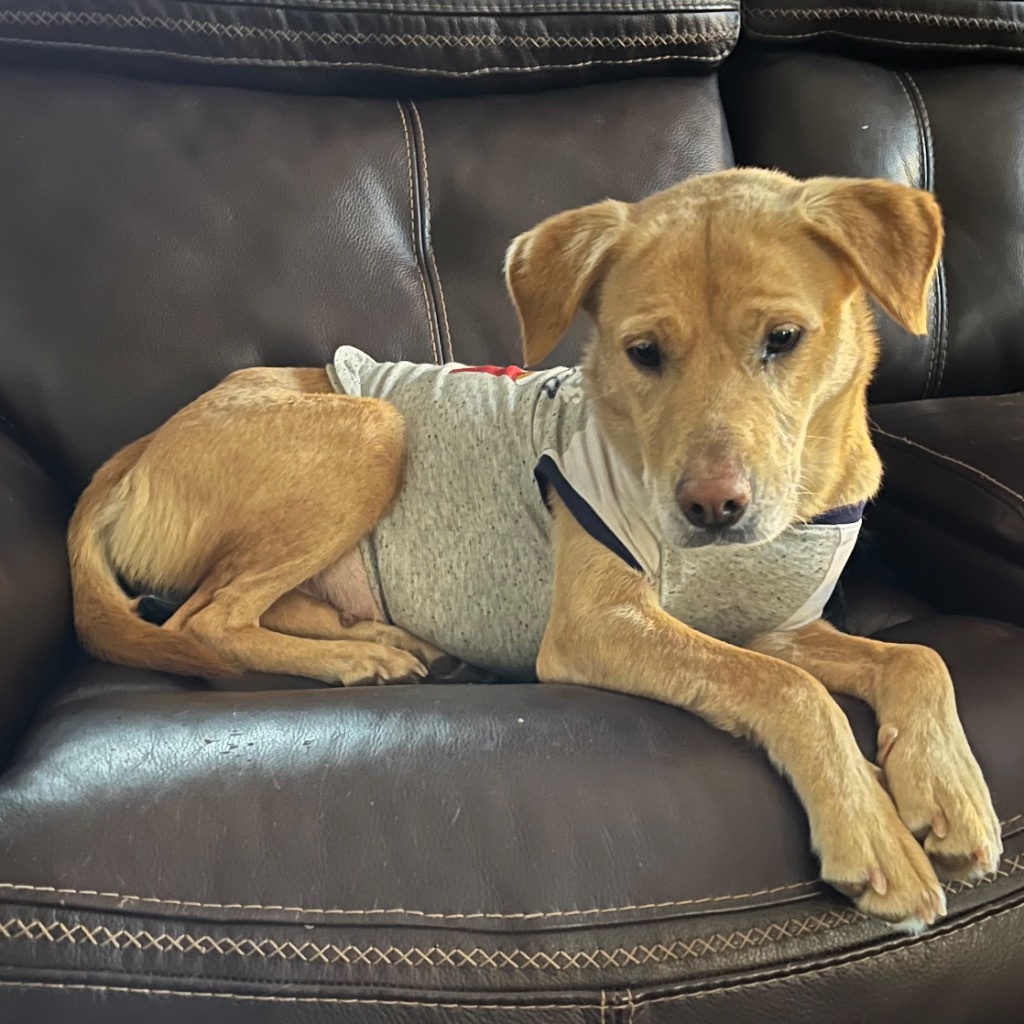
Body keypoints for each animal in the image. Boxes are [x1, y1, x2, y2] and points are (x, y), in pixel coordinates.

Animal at [68, 169, 995, 937]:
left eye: (784, 338)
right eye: (642, 353)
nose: (711, 508)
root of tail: (142, 444)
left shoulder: (780, 626)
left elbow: (916, 658)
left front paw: (949, 790)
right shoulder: (601, 625)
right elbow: (789, 690)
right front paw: (871, 828)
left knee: (265, 607)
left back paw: (387, 642)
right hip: (373, 428)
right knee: (206, 619)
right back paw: (355, 663)